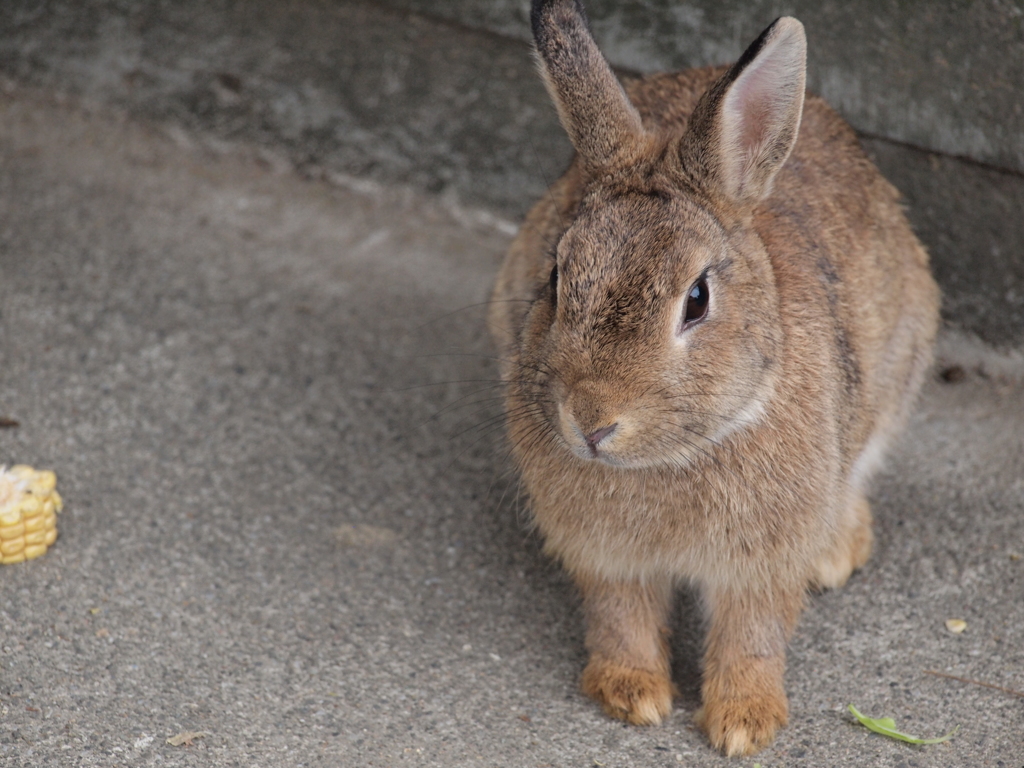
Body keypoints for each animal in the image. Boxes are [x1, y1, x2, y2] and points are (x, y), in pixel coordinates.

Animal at [491, 0, 937, 757]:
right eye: (556, 276)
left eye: (696, 300)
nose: (591, 423)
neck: (673, 457)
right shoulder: (606, 557)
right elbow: (620, 614)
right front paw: (632, 694)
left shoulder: (762, 561)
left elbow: (751, 632)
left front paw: (743, 723)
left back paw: (836, 552)